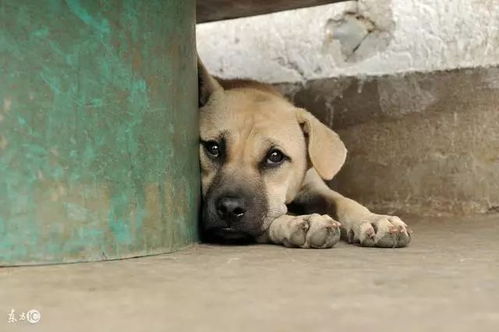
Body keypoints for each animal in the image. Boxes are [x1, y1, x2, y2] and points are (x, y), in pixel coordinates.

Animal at [197, 59, 412, 248]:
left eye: (275, 156)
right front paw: (296, 223)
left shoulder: (314, 186)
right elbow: (271, 220)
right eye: (213, 148)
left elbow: (343, 201)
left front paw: (373, 218)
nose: (229, 208)